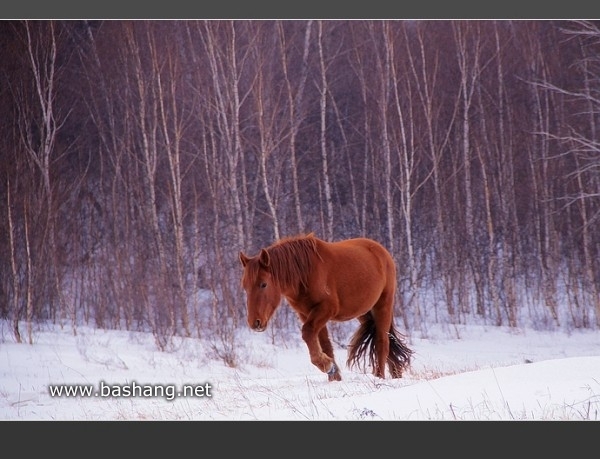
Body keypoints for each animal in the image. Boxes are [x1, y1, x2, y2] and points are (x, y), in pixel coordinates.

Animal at [239, 234, 412, 380]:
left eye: (263, 284)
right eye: (245, 287)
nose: (255, 322)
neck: (305, 274)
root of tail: (382, 252)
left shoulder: (325, 310)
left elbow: (307, 333)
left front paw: (326, 365)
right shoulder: (307, 313)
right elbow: (325, 345)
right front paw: (333, 375)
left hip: (383, 305)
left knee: (382, 342)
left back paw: (379, 377)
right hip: (363, 313)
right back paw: (395, 374)